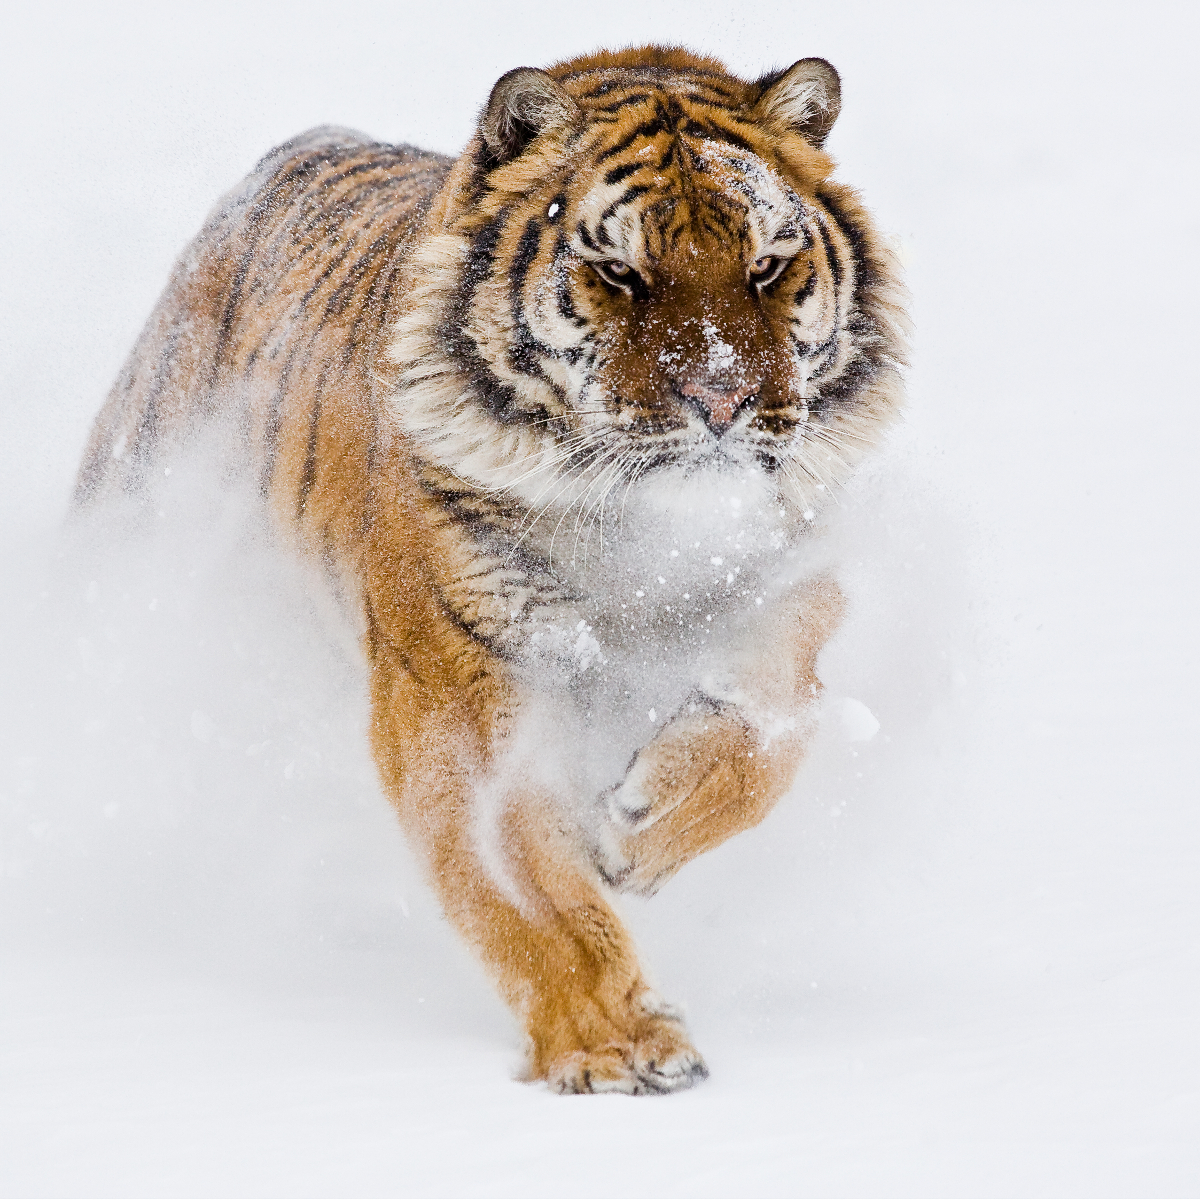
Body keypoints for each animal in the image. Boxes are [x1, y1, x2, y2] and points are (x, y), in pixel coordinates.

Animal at [77, 45, 906, 1094]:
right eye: (619, 272)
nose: (722, 402)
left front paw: (638, 832)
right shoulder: (462, 710)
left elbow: (775, 726)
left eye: (765, 265)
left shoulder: (795, 594)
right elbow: (540, 900)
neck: (647, 536)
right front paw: (615, 1044)